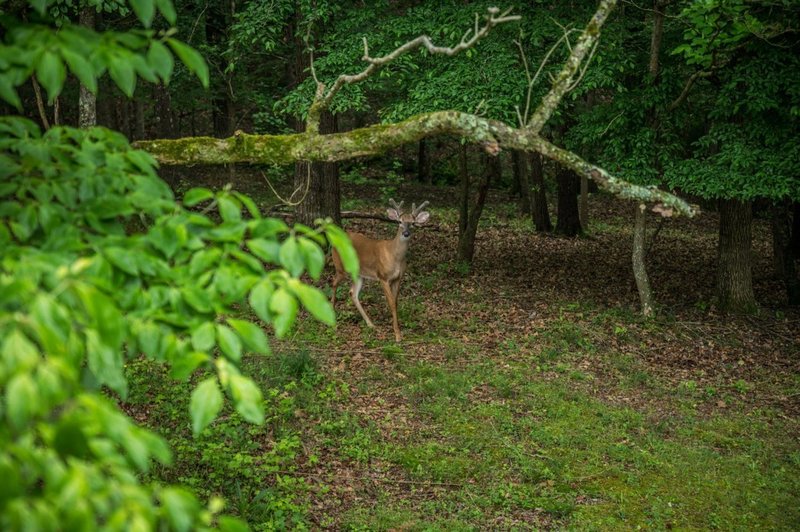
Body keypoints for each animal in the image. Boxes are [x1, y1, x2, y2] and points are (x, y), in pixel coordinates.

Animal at [330, 198, 428, 340]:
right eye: (399, 221)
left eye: (413, 223)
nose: (406, 233)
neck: (395, 256)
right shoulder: (383, 276)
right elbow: (391, 303)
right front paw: (397, 335)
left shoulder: (398, 278)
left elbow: (395, 302)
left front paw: (397, 330)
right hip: (340, 267)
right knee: (333, 283)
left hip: (359, 274)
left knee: (352, 293)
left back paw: (370, 324)